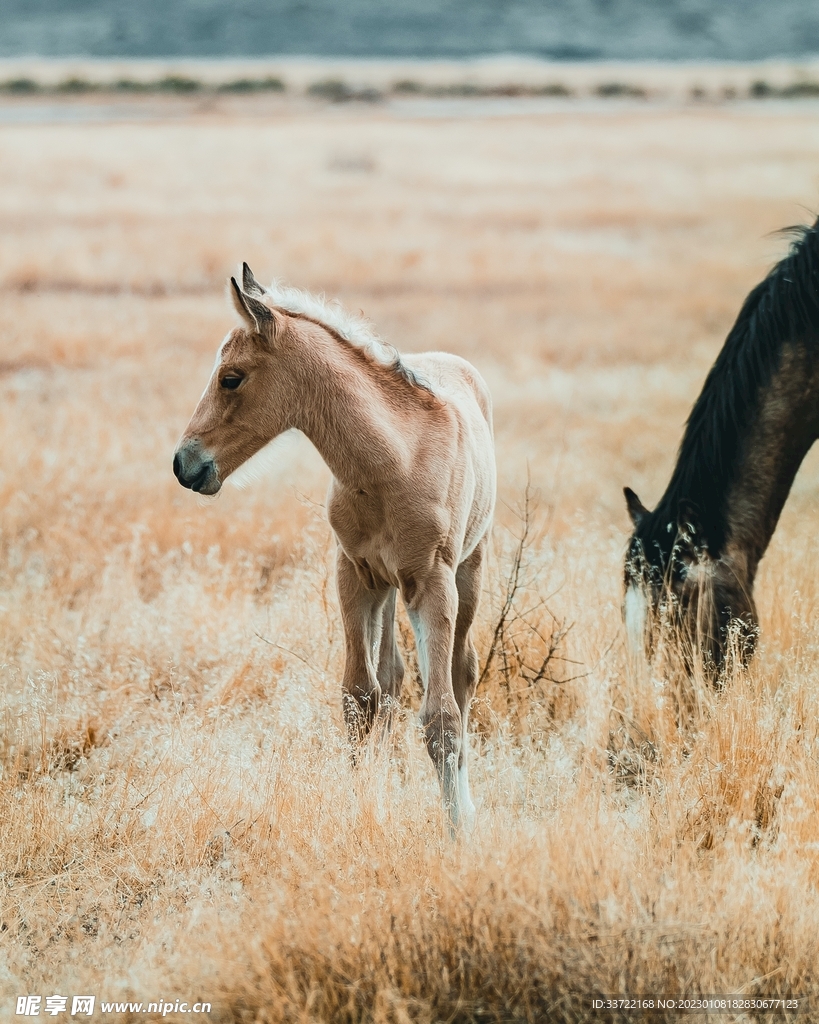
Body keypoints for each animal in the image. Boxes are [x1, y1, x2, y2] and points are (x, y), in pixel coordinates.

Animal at [173, 265, 497, 831]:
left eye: (231, 377)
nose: (184, 464)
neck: (393, 464)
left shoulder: (432, 582)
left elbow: (441, 717)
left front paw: (459, 831)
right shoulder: (354, 574)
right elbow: (360, 698)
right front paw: (362, 806)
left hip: (467, 573)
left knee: (461, 675)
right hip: (388, 588)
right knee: (390, 681)